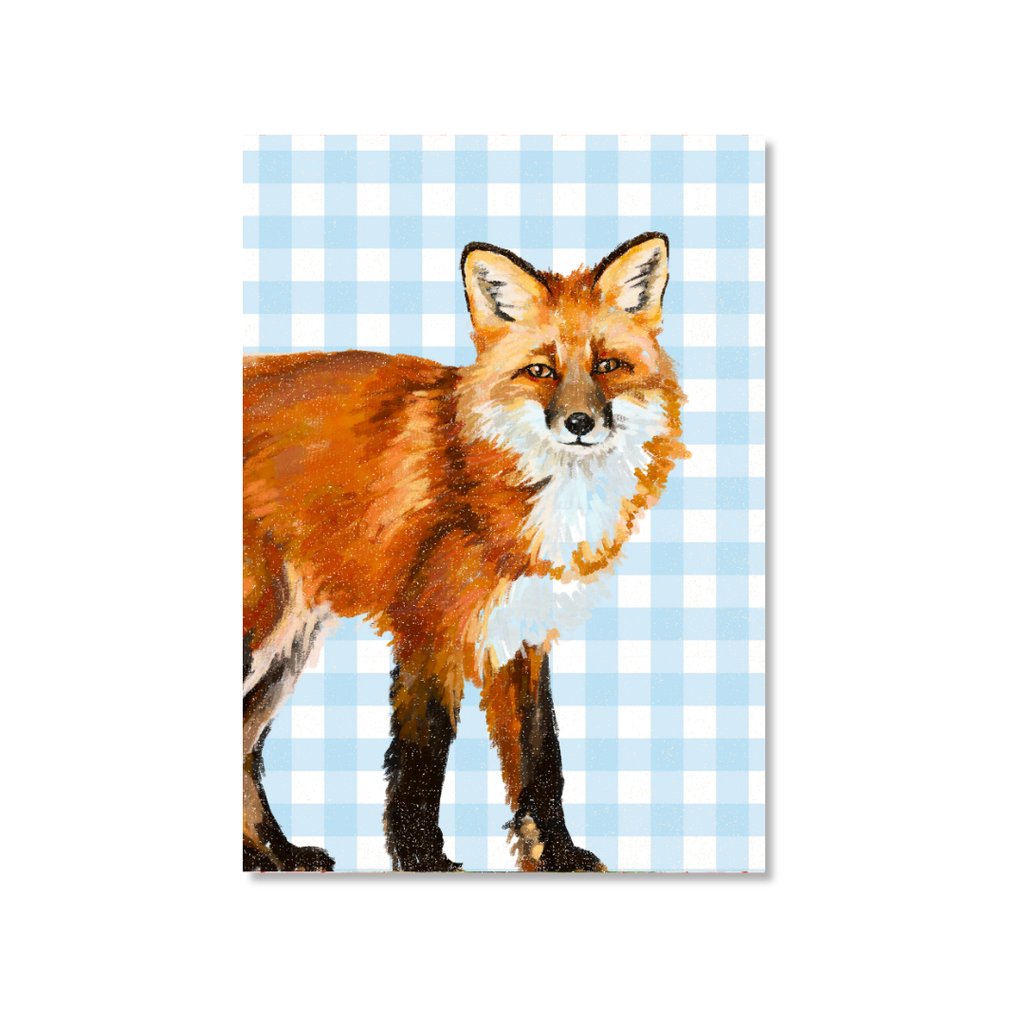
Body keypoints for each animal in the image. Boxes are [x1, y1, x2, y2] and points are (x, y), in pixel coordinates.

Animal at [243, 231, 690, 871]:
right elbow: (421, 761)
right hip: (262, 634)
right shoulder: (430, 629)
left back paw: (275, 855)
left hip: (289, 645)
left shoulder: (525, 631)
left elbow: (542, 759)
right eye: (540, 370)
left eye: (608, 365)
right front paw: (421, 860)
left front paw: (556, 854)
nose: (580, 422)